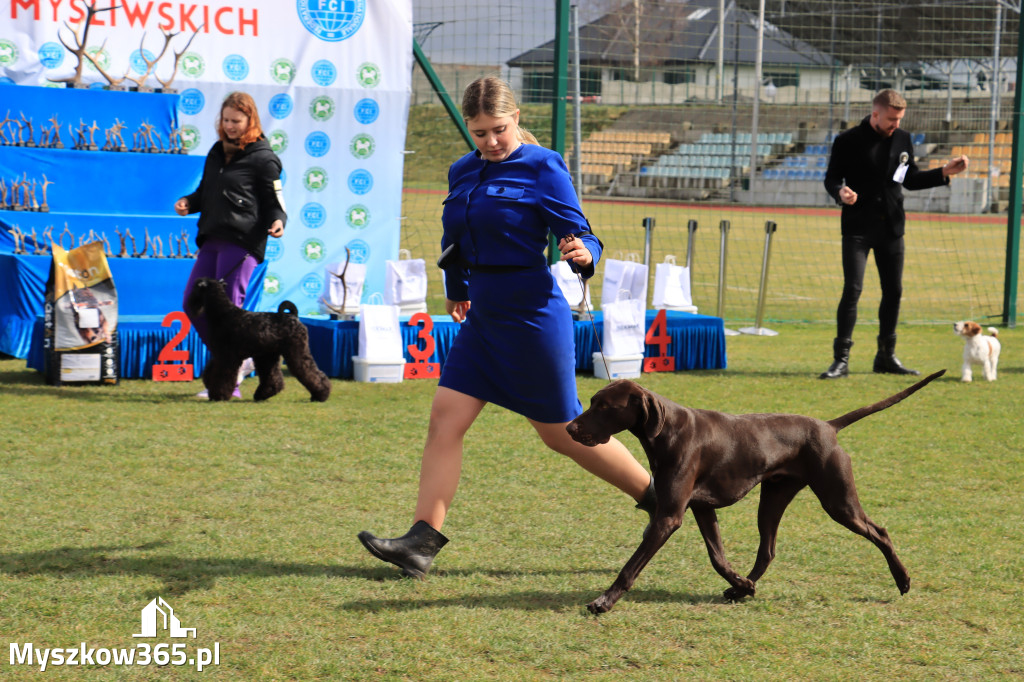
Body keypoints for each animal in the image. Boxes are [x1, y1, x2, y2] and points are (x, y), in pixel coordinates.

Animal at [184, 278, 327, 401]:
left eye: (195, 287)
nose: (188, 300)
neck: (223, 313)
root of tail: (293, 317)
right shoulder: (220, 354)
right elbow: (211, 369)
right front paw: (209, 382)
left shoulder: (227, 357)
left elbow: (222, 376)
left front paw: (218, 395)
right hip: (267, 356)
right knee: (273, 378)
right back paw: (262, 395)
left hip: (295, 353)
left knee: (311, 373)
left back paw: (321, 394)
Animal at [569, 368, 942, 614]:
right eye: (591, 401)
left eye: (604, 407)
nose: (569, 427)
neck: (667, 431)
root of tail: (828, 427)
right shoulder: (702, 509)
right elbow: (718, 558)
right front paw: (742, 585)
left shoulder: (669, 517)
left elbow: (630, 567)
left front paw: (604, 601)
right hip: (773, 500)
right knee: (768, 551)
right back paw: (743, 589)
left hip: (839, 502)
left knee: (880, 532)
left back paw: (903, 581)